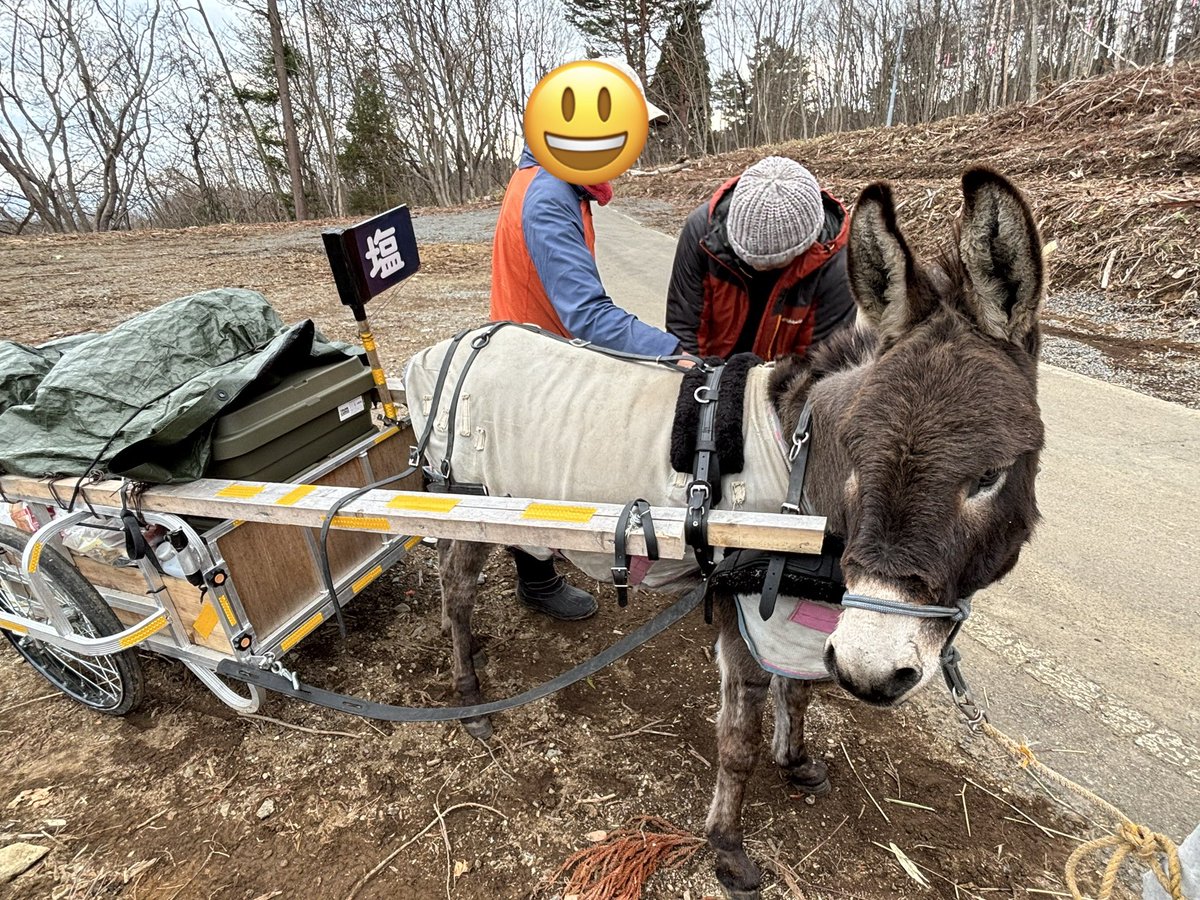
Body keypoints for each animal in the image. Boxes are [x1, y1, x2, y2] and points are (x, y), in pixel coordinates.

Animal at [404, 166, 1045, 898]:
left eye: (989, 476)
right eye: (858, 453)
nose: (873, 672)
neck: (800, 464)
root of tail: (449, 345)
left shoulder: (803, 616)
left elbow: (801, 691)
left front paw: (797, 762)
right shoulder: (746, 615)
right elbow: (738, 742)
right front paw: (729, 849)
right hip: (464, 504)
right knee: (456, 593)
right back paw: (470, 698)